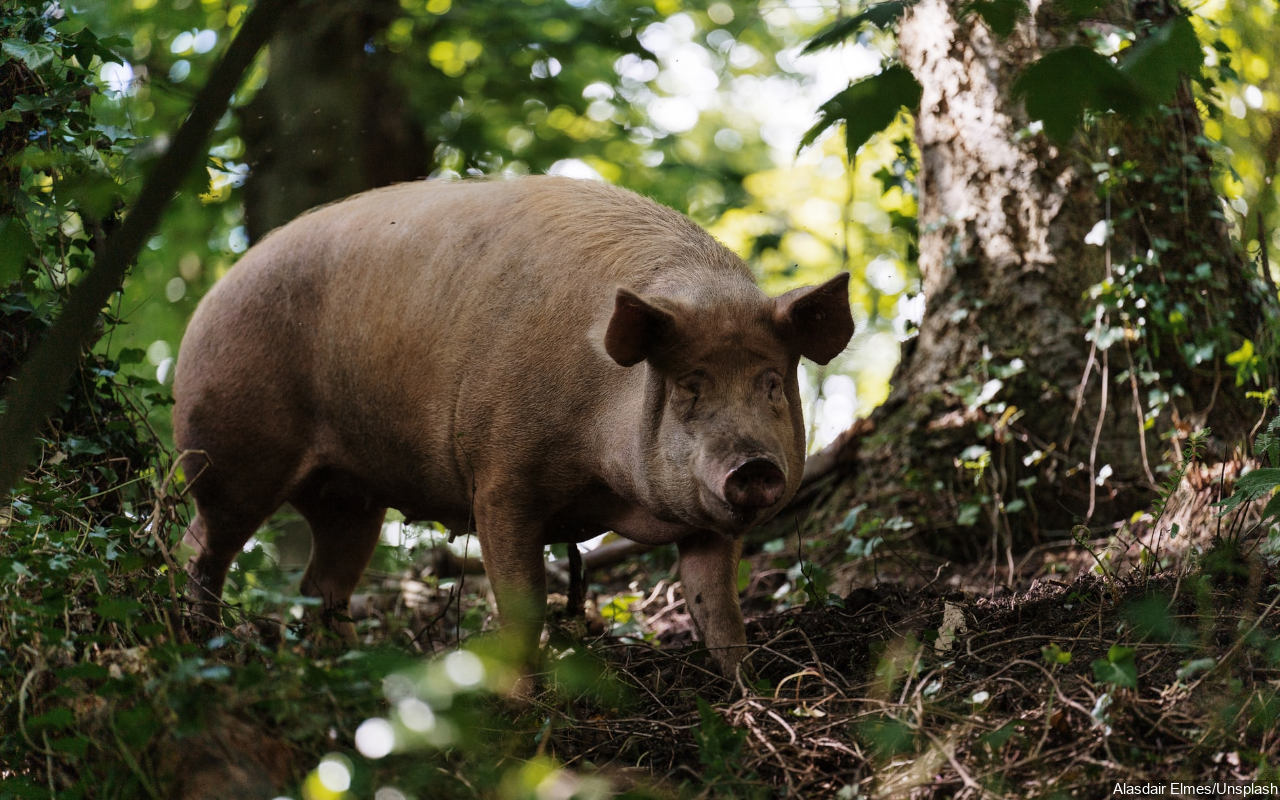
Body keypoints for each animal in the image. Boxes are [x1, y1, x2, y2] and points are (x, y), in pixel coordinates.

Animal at [170, 174, 849, 675]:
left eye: (770, 383)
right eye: (689, 386)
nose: (754, 464)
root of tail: (212, 294)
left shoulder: (706, 522)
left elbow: (720, 614)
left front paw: (743, 693)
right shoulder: (499, 479)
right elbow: (522, 610)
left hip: (350, 498)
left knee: (321, 584)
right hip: (229, 450)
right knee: (199, 545)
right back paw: (200, 642)